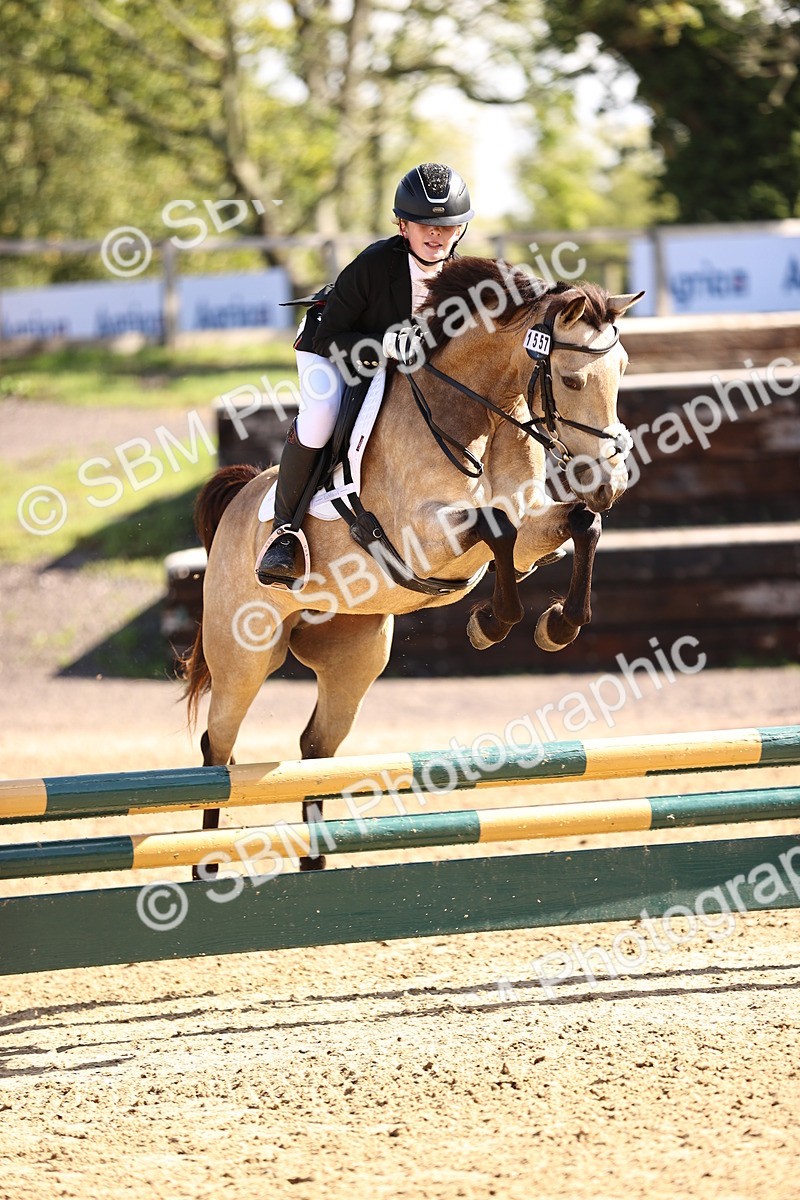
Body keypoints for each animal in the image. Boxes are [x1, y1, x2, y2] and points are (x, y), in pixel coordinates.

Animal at [182, 258, 643, 869]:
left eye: (622, 369)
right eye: (571, 381)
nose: (609, 483)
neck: (481, 414)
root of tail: (235, 505)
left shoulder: (531, 527)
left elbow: (576, 527)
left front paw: (557, 625)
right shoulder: (421, 533)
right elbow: (497, 527)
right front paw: (491, 623)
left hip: (354, 656)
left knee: (315, 746)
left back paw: (314, 860)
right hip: (245, 655)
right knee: (219, 747)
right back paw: (206, 862)